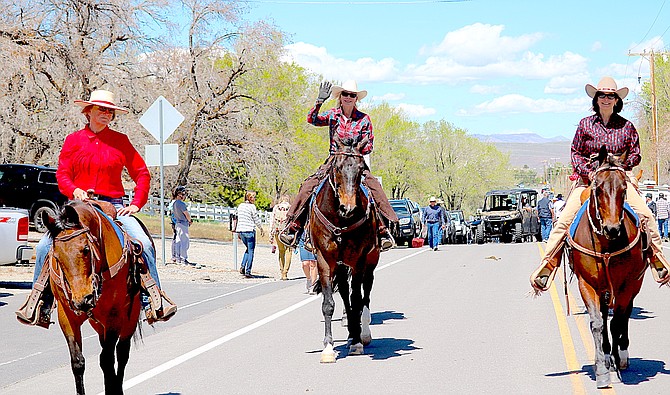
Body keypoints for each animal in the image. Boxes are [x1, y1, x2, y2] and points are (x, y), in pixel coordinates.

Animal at [43, 201, 143, 395]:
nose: (83, 300)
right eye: (56, 256)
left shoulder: (114, 315)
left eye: (86, 249)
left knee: (121, 353)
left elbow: (108, 359)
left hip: (131, 316)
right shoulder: (66, 316)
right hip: (98, 323)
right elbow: (78, 362)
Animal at [308, 137, 380, 366]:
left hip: (370, 262)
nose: (348, 208)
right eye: (337, 167)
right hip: (339, 267)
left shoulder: (358, 260)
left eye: (361, 169)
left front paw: (357, 342)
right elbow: (329, 304)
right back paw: (350, 333)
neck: (341, 221)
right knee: (345, 296)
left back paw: (362, 333)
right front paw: (328, 348)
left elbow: (358, 299)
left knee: (365, 294)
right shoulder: (323, 260)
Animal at [568, 146, 652, 390]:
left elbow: (617, 322)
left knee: (624, 316)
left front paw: (617, 358)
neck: (606, 244)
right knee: (607, 316)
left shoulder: (625, 285)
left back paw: (621, 354)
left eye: (624, 189)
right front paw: (602, 370)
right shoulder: (587, 284)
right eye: (598, 188)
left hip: (633, 285)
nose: (612, 228)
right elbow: (598, 323)